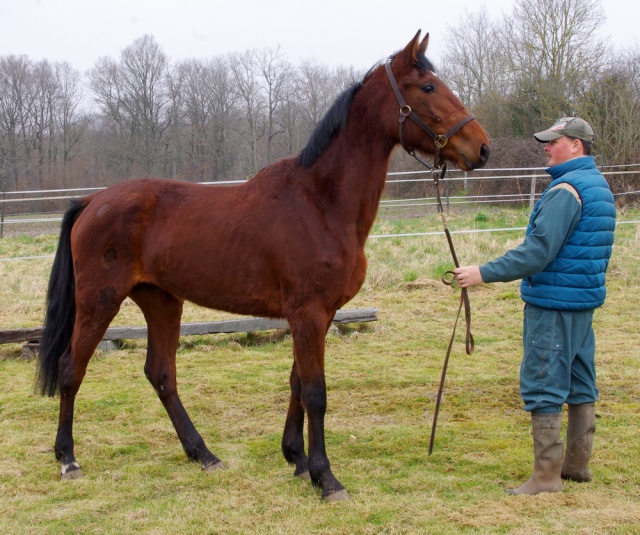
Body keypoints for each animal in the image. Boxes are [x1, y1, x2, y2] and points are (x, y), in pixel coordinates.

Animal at [37, 31, 490, 502]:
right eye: (428, 87)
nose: (481, 147)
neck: (320, 202)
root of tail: (93, 201)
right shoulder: (308, 314)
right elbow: (316, 392)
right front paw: (326, 477)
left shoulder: (318, 315)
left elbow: (297, 384)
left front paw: (297, 458)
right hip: (99, 300)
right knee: (72, 369)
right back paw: (68, 458)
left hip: (162, 301)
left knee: (161, 374)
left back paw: (203, 454)